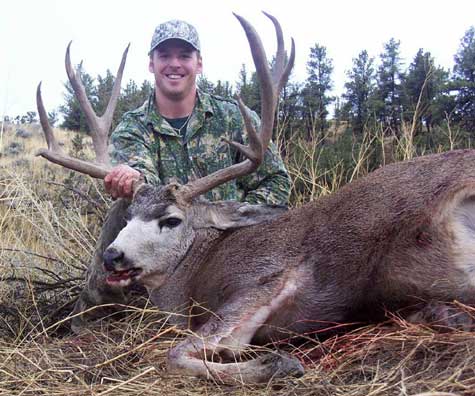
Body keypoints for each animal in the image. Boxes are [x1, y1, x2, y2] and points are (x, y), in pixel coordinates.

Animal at [38, 11, 475, 384]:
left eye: (172, 219)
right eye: (127, 218)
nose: (113, 255)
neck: (192, 273)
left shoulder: (264, 278)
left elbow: (177, 353)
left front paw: (278, 363)